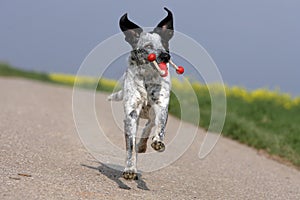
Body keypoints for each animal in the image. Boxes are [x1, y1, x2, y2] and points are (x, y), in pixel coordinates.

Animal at [108, 7, 173, 180]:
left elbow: (160, 125)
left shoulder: (161, 105)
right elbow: (130, 146)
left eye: (165, 44)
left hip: (151, 112)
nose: (165, 56)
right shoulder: (131, 114)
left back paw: (143, 144)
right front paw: (130, 169)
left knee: (150, 124)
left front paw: (158, 141)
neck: (146, 79)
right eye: (148, 45)